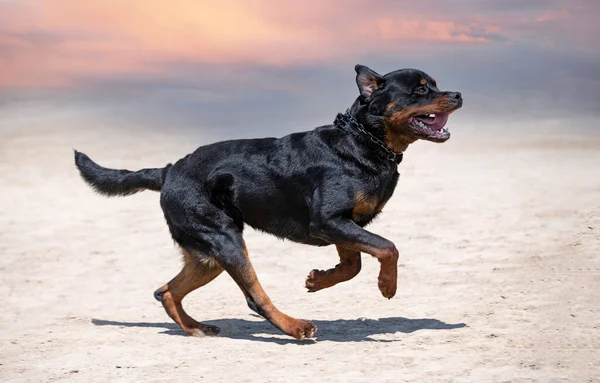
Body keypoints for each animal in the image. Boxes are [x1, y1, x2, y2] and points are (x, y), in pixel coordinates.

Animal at [72, 64, 462, 340]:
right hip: (225, 240)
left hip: (206, 255)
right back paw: (295, 327)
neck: (363, 141)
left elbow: (354, 264)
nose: (457, 94)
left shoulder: (343, 225)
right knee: (253, 296)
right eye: (420, 89)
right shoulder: (328, 221)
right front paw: (387, 285)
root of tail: (168, 171)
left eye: (435, 84)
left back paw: (195, 327)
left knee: (166, 290)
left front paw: (318, 280)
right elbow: (387, 247)